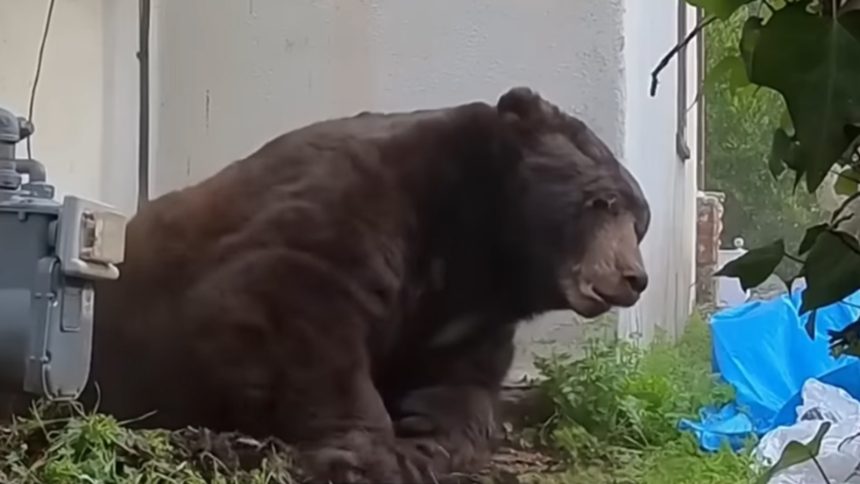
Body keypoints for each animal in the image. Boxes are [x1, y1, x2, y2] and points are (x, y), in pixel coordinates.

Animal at [82, 86, 650, 483]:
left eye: (640, 221)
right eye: (603, 201)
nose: (633, 278)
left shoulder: (465, 314)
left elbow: (456, 382)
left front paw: (427, 442)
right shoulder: (363, 201)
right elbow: (285, 299)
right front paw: (366, 453)